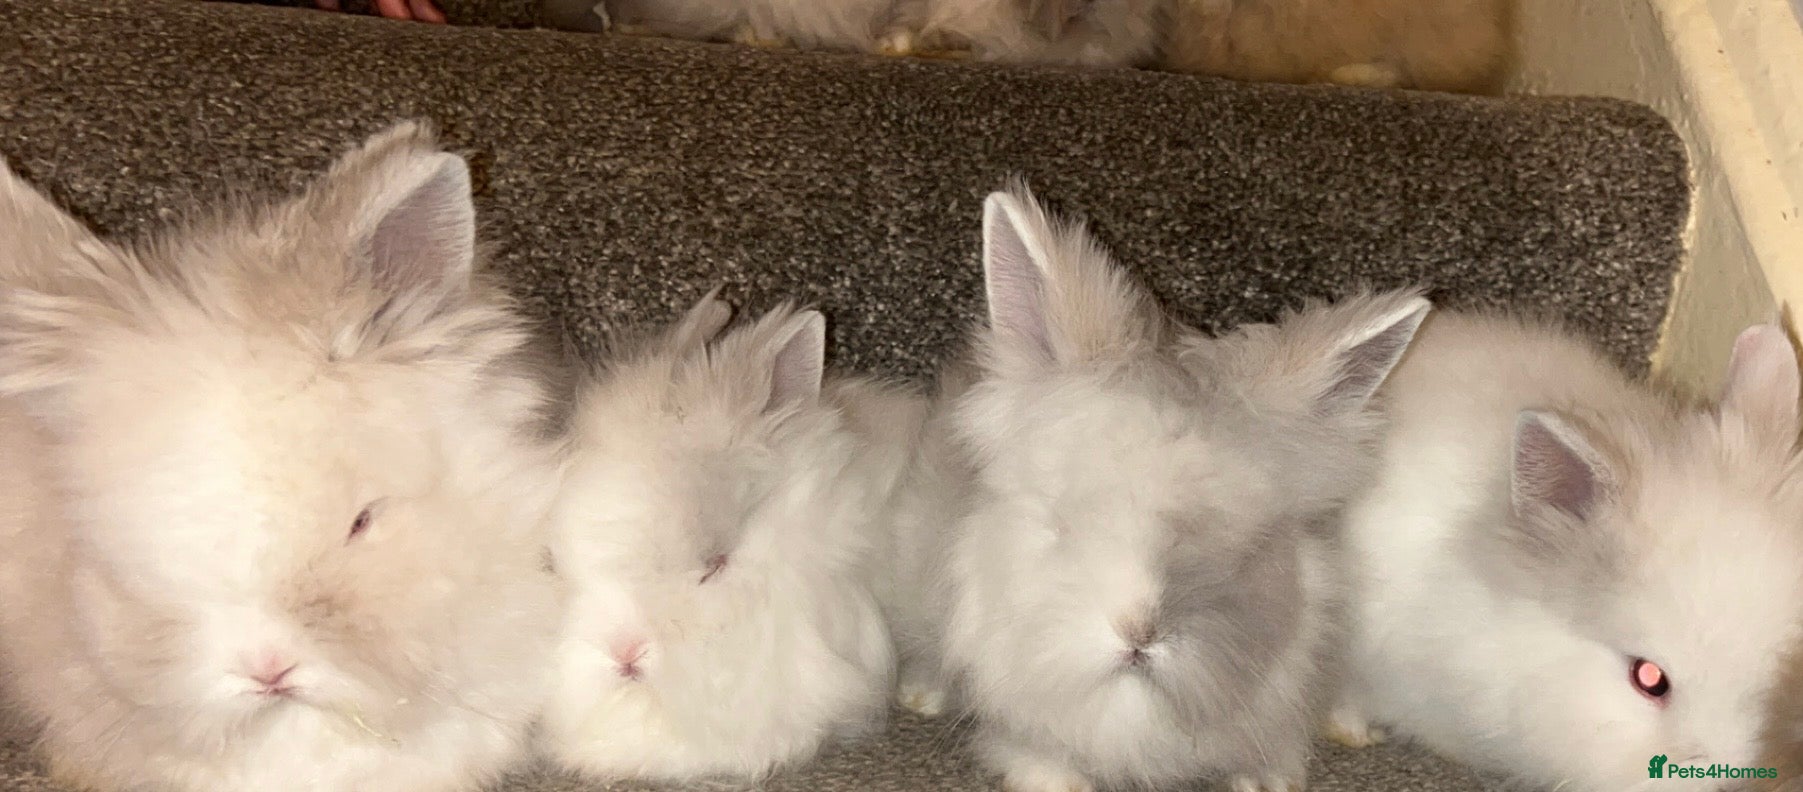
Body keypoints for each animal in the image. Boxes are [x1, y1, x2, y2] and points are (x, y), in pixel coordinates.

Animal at [880, 183, 1431, 792]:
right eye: (1061, 524)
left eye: (1251, 552)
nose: (1139, 632)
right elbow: (1038, 756)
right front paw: (1058, 783)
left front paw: (1266, 782)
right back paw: (922, 697)